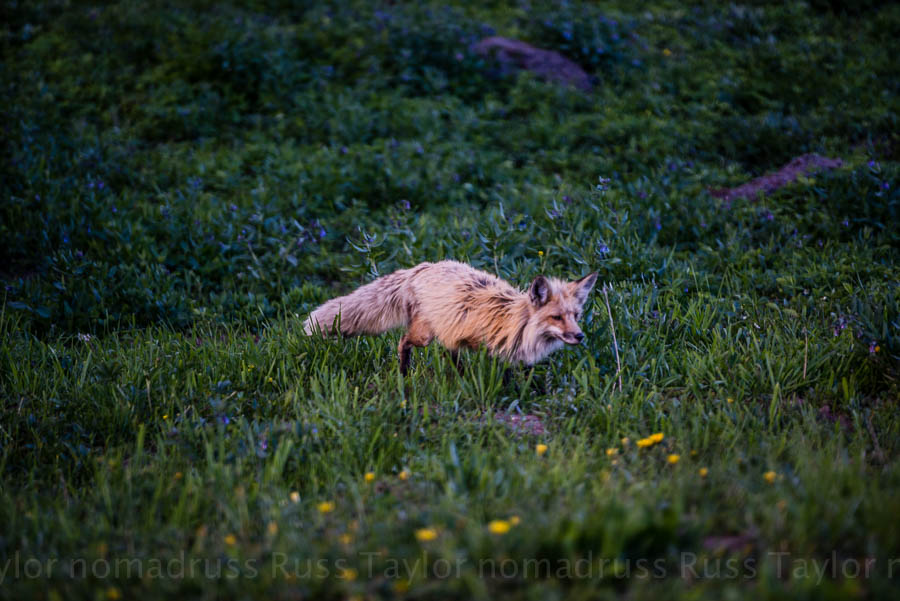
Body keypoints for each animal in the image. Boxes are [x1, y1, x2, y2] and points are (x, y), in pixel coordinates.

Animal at [304, 260, 598, 374]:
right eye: (556, 317)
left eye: (575, 315)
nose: (580, 336)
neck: (512, 319)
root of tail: (422, 267)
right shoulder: (471, 341)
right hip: (424, 334)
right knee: (402, 342)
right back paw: (403, 373)